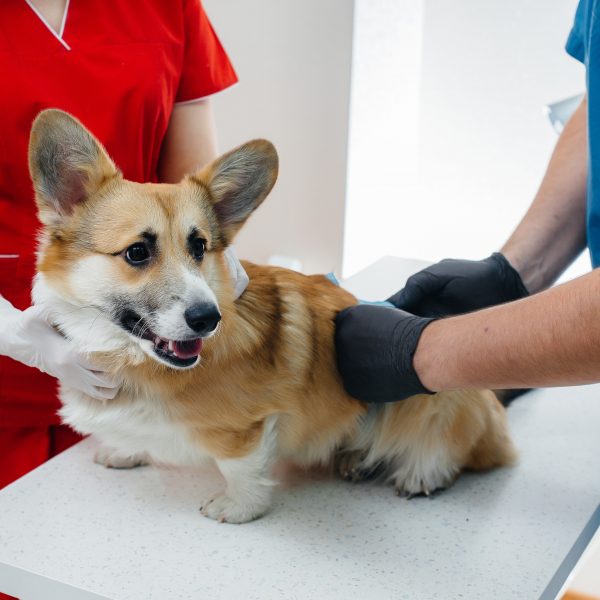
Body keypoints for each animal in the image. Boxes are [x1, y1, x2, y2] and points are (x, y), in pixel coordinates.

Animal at [29, 110, 516, 524]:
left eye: (199, 247)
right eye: (137, 252)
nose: (208, 318)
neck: (132, 361)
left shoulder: (247, 427)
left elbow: (240, 466)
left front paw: (238, 507)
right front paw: (125, 450)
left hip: (435, 393)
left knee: (447, 447)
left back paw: (419, 473)